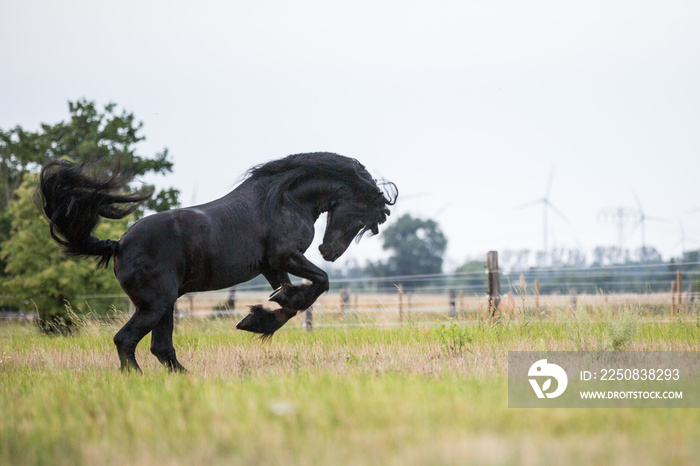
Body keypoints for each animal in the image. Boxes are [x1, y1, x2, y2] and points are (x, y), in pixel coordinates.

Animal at [38, 153, 396, 372]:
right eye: (361, 220)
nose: (329, 251)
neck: (283, 199)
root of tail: (118, 244)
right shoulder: (286, 256)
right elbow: (320, 283)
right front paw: (258, 319)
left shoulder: (272, 265)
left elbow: (291, 301)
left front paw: (257, 319)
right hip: (156, 305)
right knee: (127, 341)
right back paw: (138, 379)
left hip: (165, 306)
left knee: (160, 347)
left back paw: (185, 377)